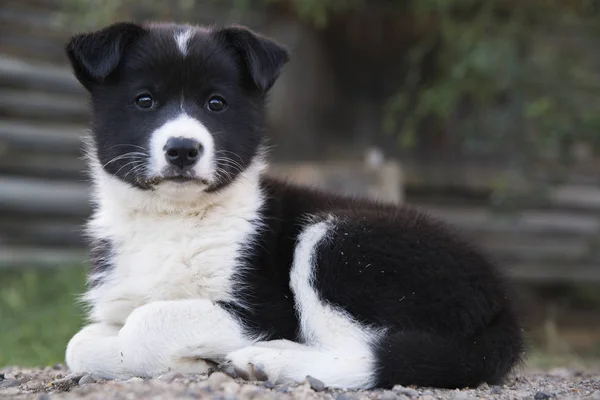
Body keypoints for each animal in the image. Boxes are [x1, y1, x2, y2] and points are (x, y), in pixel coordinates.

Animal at [65, 21, 524, 388]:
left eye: (216, 103)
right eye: (144, 101)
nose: (182, 149)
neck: (173, 218)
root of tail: (502, 304)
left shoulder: (263, 310)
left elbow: (147, 321)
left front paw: (191, 360)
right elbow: (79, 343)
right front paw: (186, 361)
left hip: (338, 243)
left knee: (368, 352)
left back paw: (267, 361)